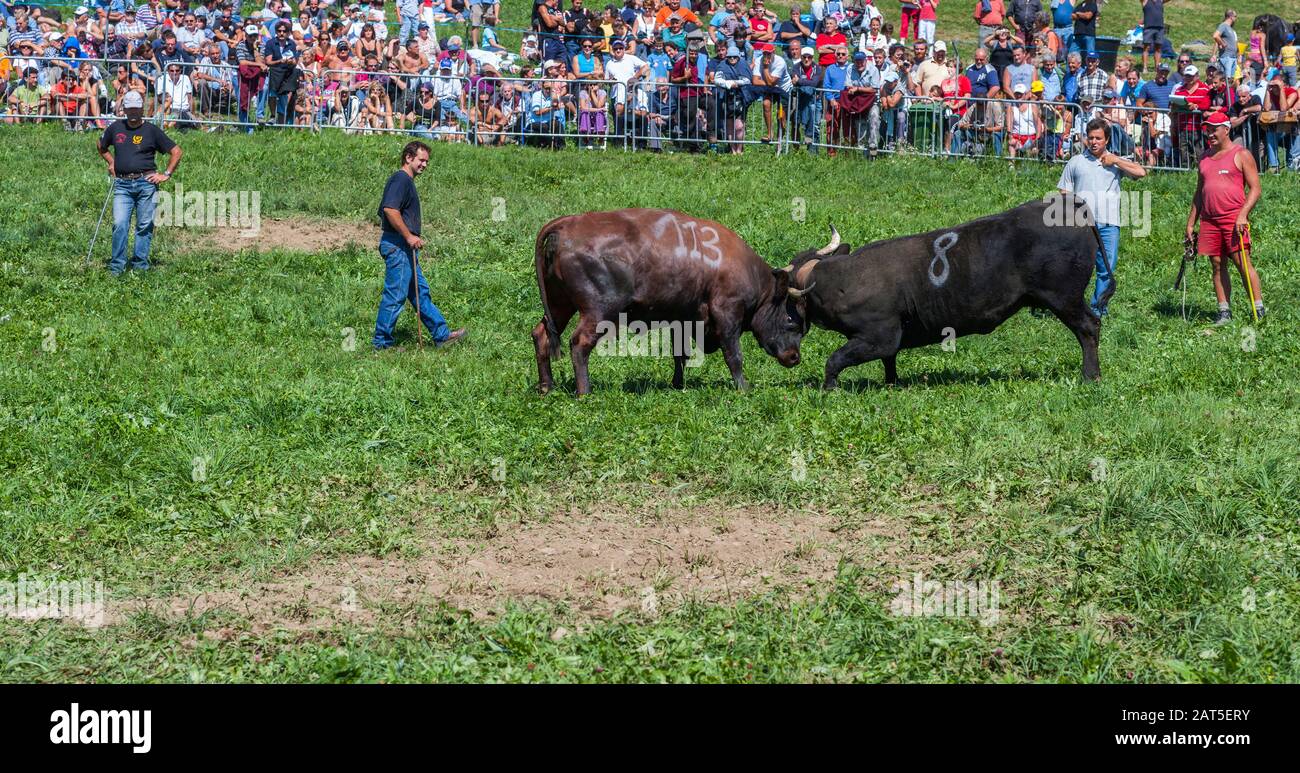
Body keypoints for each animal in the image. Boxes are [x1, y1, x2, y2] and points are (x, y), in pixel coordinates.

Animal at [533, 209, 806, 394]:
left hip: (560, 305)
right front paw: (743, 387)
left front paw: (678, 384)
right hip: (599, 312)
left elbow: (680, 354)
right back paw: (585, 392)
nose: (795, 357)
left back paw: (546, 387)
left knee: (541, 334)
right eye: (791, 322)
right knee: (580, 343)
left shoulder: (682, 319)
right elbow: (734, 355)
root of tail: (567, 224)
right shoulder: (727, 314)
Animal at [785, 193, 1102, 387]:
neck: (842, 279)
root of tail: (1065, 202)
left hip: (1064, 298)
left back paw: (1091, 376)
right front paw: (891, 383)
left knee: (1089, 327)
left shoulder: (879, 335)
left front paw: (829, 386)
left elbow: (836, 358)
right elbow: (889, 361)